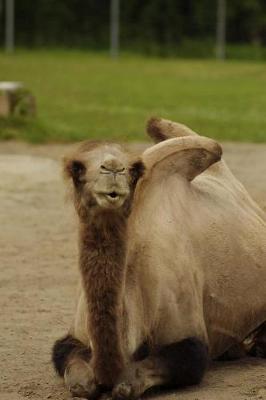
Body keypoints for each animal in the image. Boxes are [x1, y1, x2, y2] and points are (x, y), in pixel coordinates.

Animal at [52, 119, 266, 400]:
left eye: (133, 170)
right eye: (77, 168)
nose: (113, 169)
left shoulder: (187, 332)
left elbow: (151, 373)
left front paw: (123, 382)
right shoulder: (73, 336)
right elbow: (76, 376)